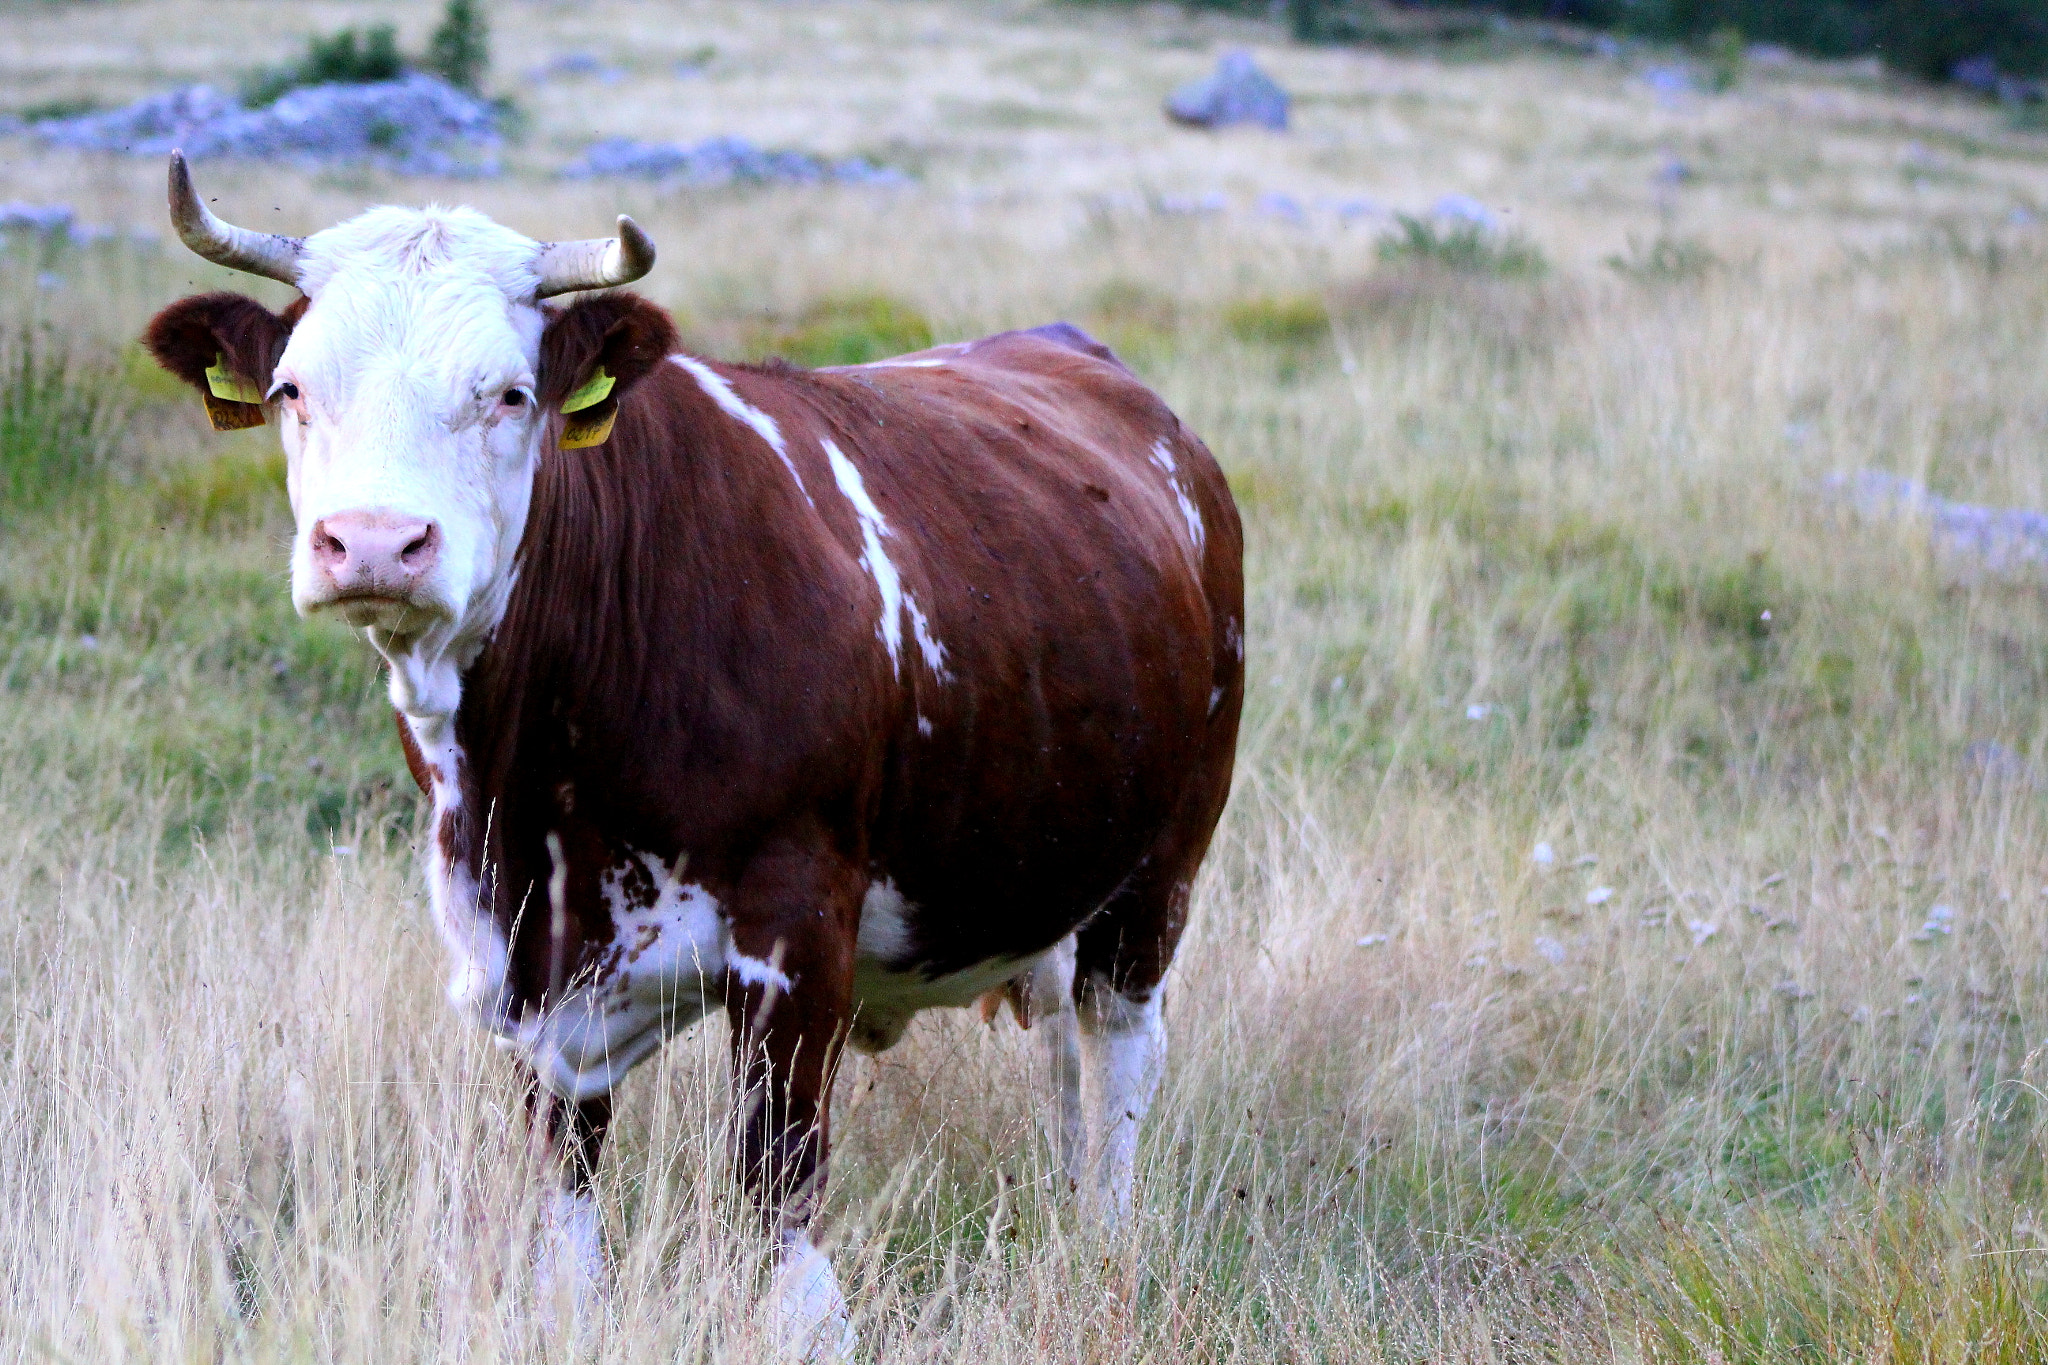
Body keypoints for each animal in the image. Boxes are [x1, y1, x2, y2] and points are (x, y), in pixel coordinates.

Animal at [143, 152, 1243, 1355]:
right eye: (293, 389)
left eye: (510, 393)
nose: (376, 545)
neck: (543, 784)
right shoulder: (524, 967)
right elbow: (565, 1206)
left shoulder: (797, 936)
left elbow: (778, 1188)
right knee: (1058, 1055)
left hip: (1160, 868)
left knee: (1118, 1048)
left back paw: (1103, 1242)